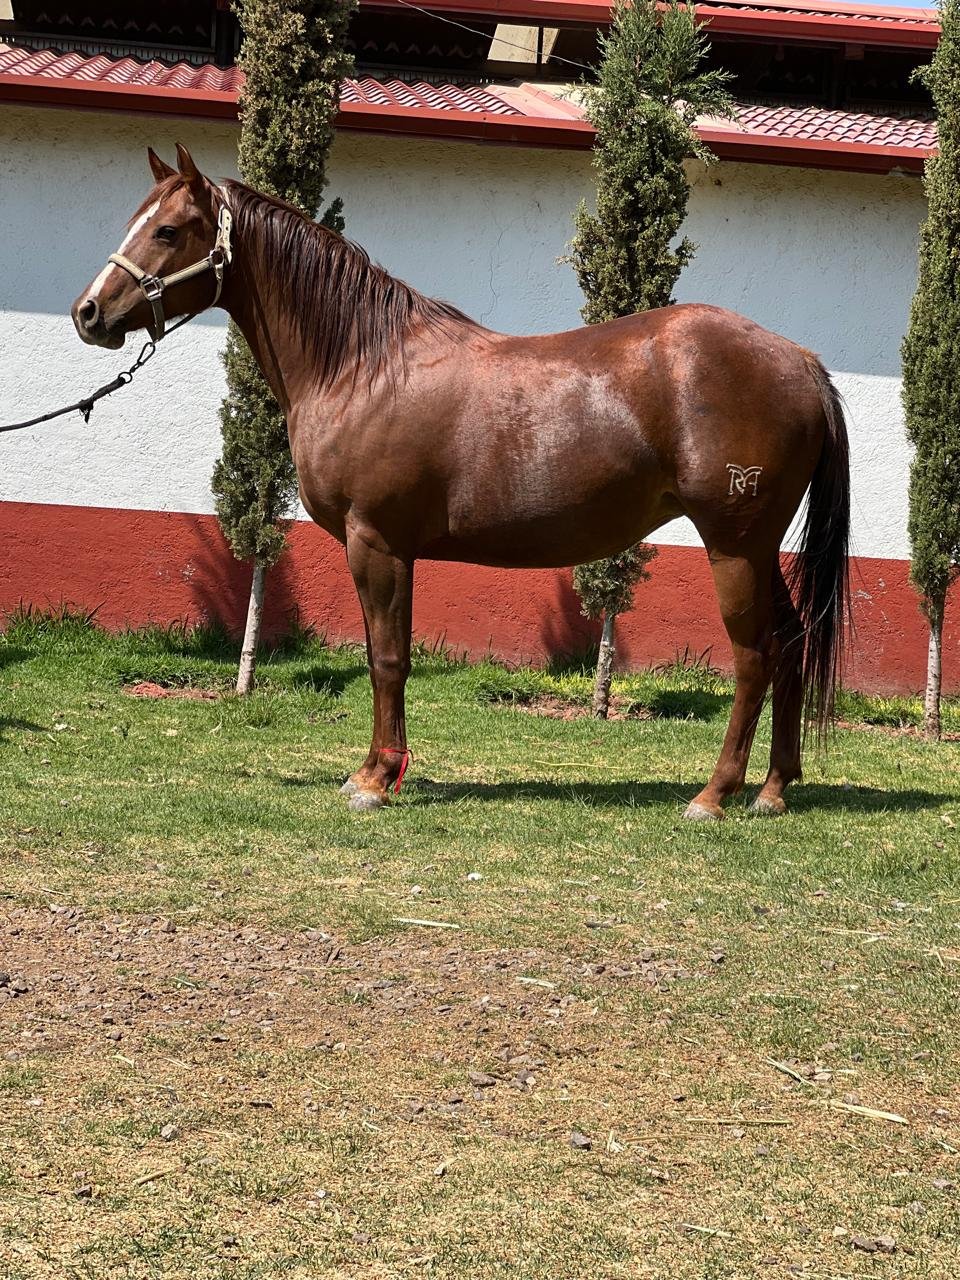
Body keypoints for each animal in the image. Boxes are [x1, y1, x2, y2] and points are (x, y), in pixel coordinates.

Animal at [72, 144, 850, 820]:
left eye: (168, 229)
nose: (88, 313)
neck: (361, 364)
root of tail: (801, 362)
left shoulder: (376, 542)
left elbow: (388, 659)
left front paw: (375, 781)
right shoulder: (388, 548)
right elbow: (384, 655)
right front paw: (373, 770)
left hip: (733, 546)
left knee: (755, 657)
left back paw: (714, 795)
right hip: (756, 549)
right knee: (791, 643)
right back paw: (774, 789)